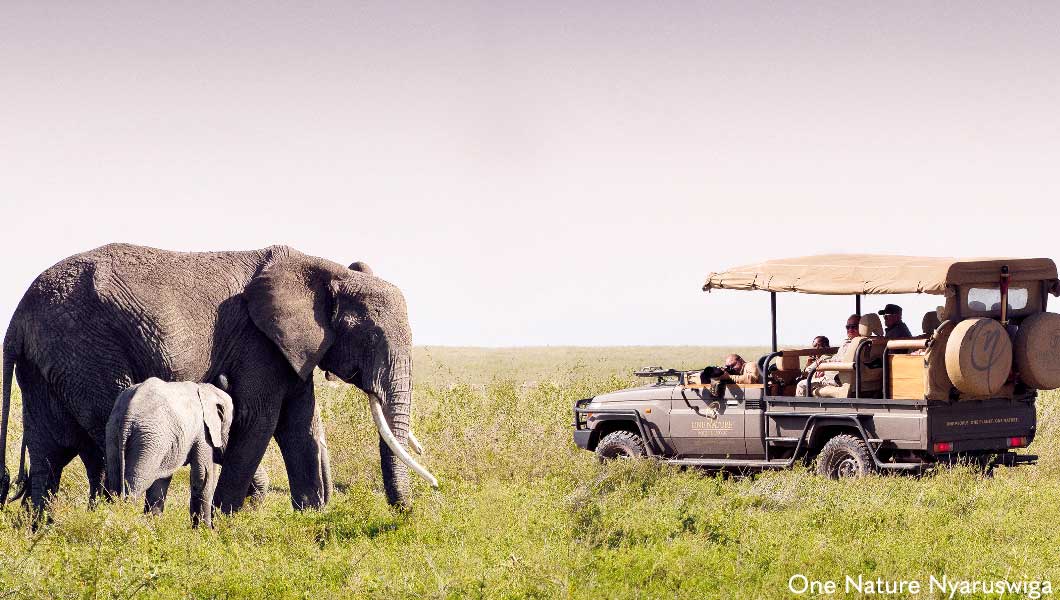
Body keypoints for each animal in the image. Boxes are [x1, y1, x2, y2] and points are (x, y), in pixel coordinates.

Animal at [104, 379, 233, 530]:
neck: (207, 389)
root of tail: (128, 414)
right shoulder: (203, 431)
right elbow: (202, 476)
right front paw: (206, 532)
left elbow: (161, 481)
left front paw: (155, 528)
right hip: (149, 439)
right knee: (135, 485)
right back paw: (126, 524)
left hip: (114, 431)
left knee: (115, 482)